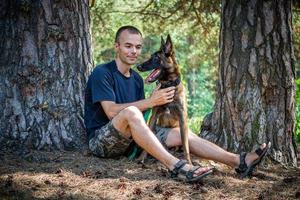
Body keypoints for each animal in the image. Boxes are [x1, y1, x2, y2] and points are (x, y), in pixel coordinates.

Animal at [137, 34, 191, 164]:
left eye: (156, 58)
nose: (138, 66)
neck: (168, 85)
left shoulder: (182, 119)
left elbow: (185, 145)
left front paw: (189, 162)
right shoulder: (154, 116)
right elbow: (149, 138)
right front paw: (142, 157)